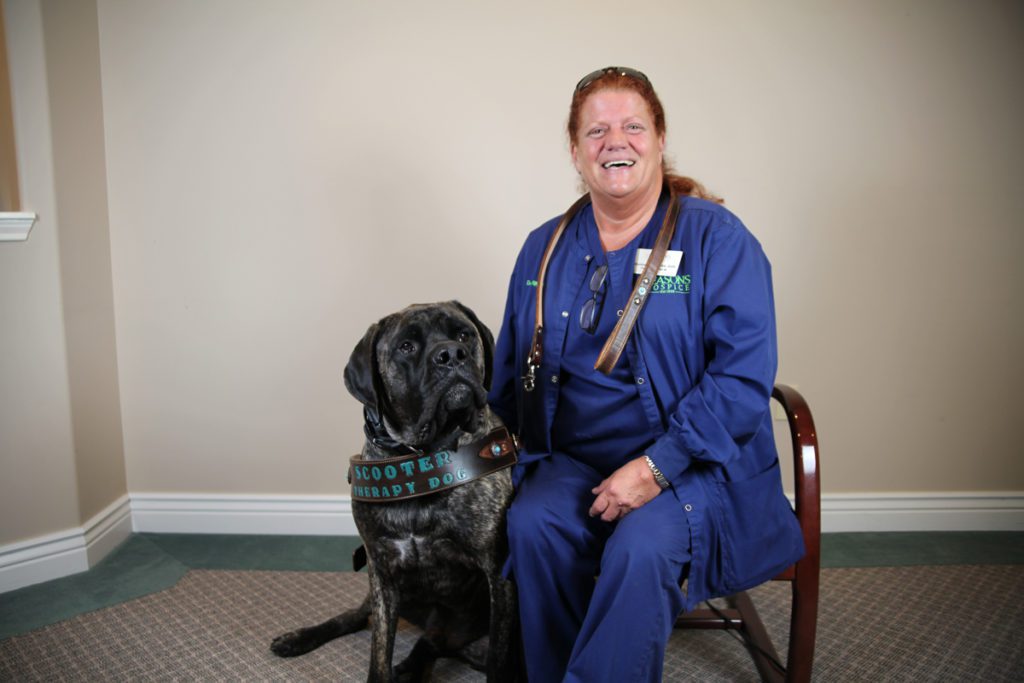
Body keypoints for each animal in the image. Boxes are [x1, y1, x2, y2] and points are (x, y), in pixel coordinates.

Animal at [270, 301, 516, 679]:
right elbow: (379, 652)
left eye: (464, 335)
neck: (420, 456)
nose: (451, 354)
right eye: (407, 347)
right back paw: (298, 638)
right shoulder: (381, 570)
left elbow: (499, 659)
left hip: (461, 625)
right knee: (357, 619)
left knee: (430, 645)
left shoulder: (497, 573)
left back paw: (411, 668)